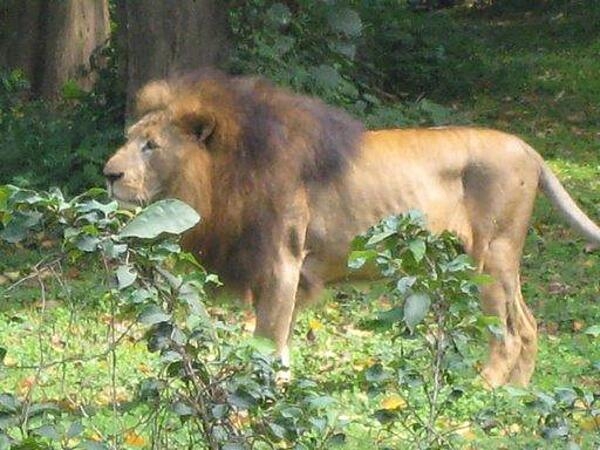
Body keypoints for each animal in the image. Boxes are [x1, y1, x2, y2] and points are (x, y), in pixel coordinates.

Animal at [104, 70, 600, 386]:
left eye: (151, 146)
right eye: (129, 139)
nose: (109, 173)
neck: (221, 176)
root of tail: (529, 150)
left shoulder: (282, 262)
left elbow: (267, 338)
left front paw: (258, 396)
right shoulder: (280, 272)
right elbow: (280, 338)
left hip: (491, 256)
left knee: (510, 333)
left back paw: (487, 386)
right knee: (529, 325)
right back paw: (517, 392)